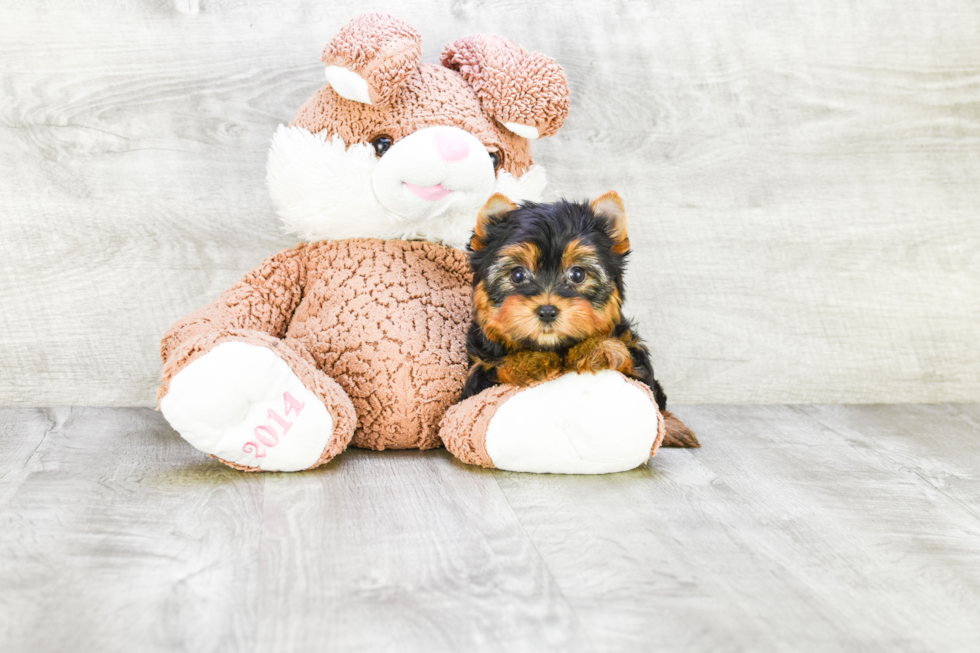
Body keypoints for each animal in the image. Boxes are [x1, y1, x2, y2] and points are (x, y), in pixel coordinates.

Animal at [464, 190, 700, 448]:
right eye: (517, 275)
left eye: (578, 274)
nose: (547, 310)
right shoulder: (476, 377)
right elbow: (495, 369)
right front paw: (528, 360)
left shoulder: (637, 363)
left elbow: (632, 365)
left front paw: (597, 346)